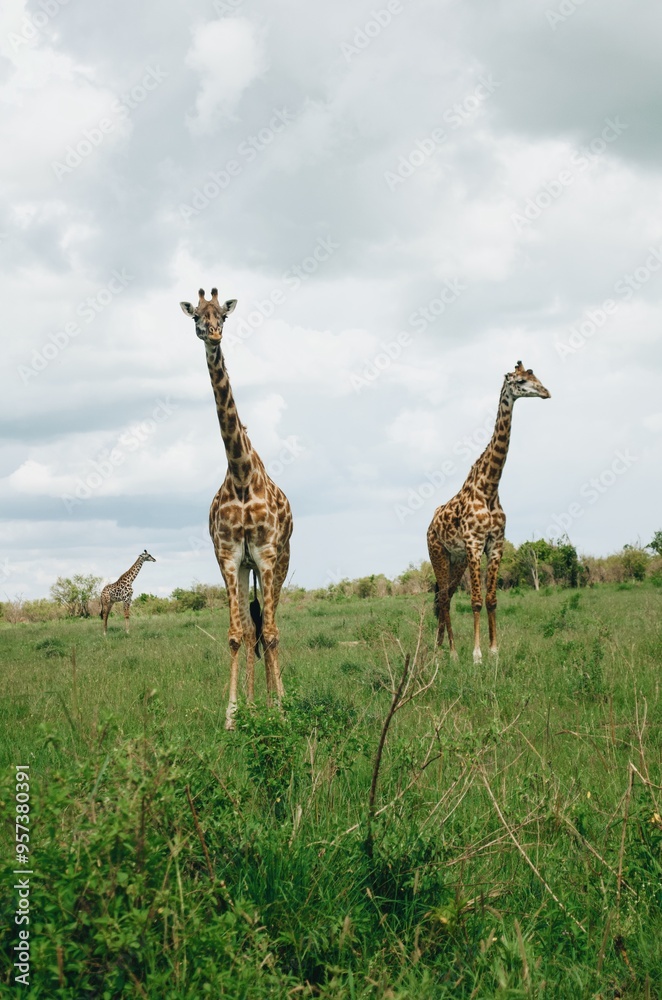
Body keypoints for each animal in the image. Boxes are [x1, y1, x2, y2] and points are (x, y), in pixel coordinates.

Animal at [179, 288, 293, 730]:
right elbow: (235, 634)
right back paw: (253, 702)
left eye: (223, 317)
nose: (212, 333)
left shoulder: (266, 554)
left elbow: (272, 634)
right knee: (251, 629)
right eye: (196, 316)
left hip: (280, 561)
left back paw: (273, 700)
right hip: (246, 569)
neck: (242, 476)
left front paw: (280, 710)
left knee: (270, 628)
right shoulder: (229, 556)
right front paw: (233, 715)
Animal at [427, 362, 550, 663]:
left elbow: (492, 599)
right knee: (444, 598)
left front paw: (494, 651)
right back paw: (450, 653)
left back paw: (441, 650)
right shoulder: (474, 544)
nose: (546, 392)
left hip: (456, 559)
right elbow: (475, 601)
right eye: (520, 381)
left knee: (444, 597)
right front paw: (477, 654)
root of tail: (429, 525)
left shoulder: (495, 544)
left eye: (535, 375)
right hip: (438, 553)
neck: (490, 487)